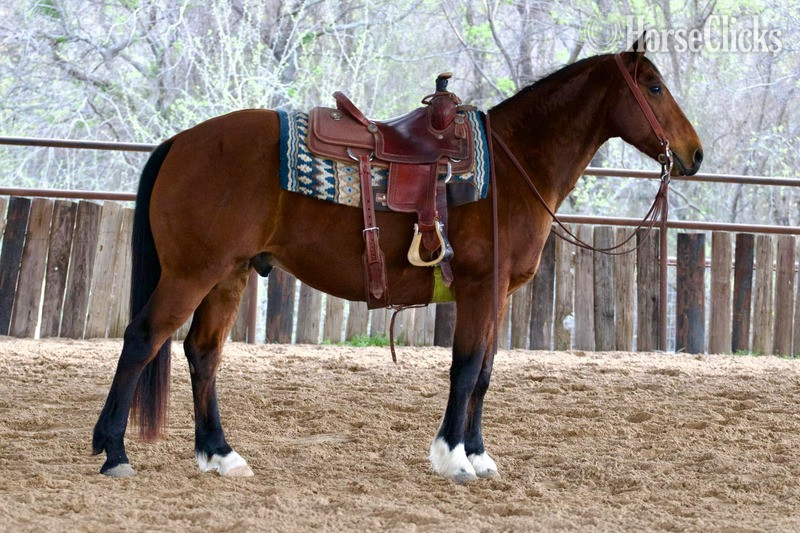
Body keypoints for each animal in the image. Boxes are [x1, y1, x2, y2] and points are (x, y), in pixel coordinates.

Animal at [92, 45, 703, 482]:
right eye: (654, 86)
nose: (695, 154)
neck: (512, 166)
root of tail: (181, 141)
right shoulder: (479, 290)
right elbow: (465, 368)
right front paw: (453, 458)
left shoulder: (499, 295)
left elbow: (485, 373)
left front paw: (478, 455)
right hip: (191, 274)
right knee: (143, 339)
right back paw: (114, 451)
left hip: (229, 276)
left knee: (203, 353)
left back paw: (219, 453)